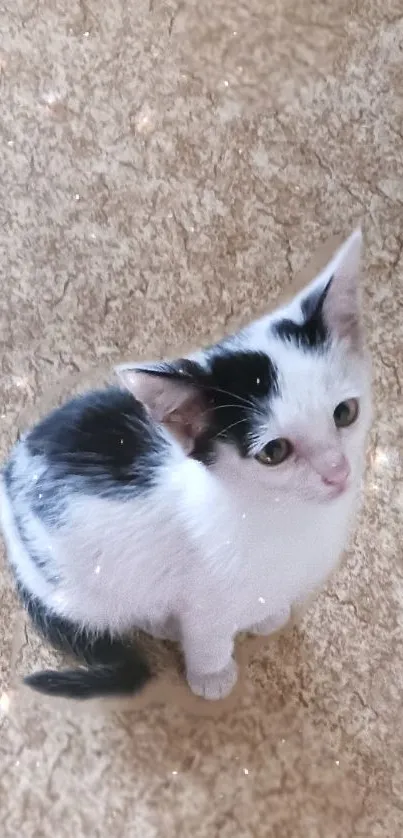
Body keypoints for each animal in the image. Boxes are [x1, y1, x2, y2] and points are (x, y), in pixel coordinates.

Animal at [0, 230, 372, 704]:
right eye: (274, 452)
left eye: (345, 413)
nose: (337, 471)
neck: (283, 515)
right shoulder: (205, 596)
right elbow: (207, 633)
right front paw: (211, 675)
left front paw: (267, 616)